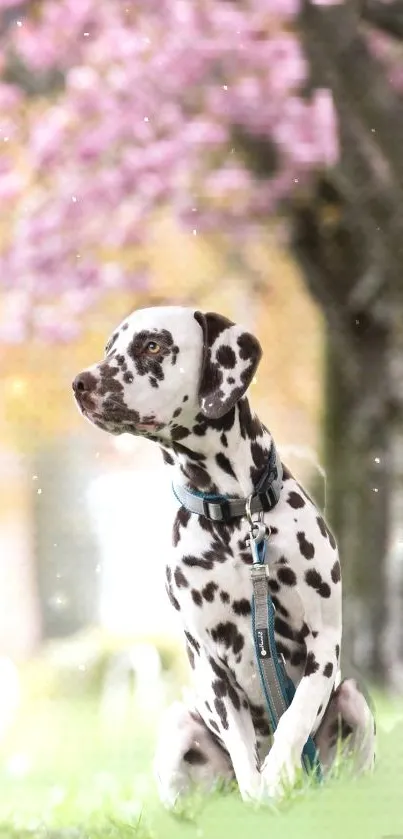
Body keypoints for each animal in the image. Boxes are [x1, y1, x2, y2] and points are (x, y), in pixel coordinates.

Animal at [72, 306, 376, 804]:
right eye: (109, 348)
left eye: (152, 345)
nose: (80, 382)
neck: (235, 516)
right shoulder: (210, 663)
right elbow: (243, 751)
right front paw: (260, 791)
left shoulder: (323, 642)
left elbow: (296, 716)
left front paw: (279, 772)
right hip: (178, 727)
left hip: (352, 699)